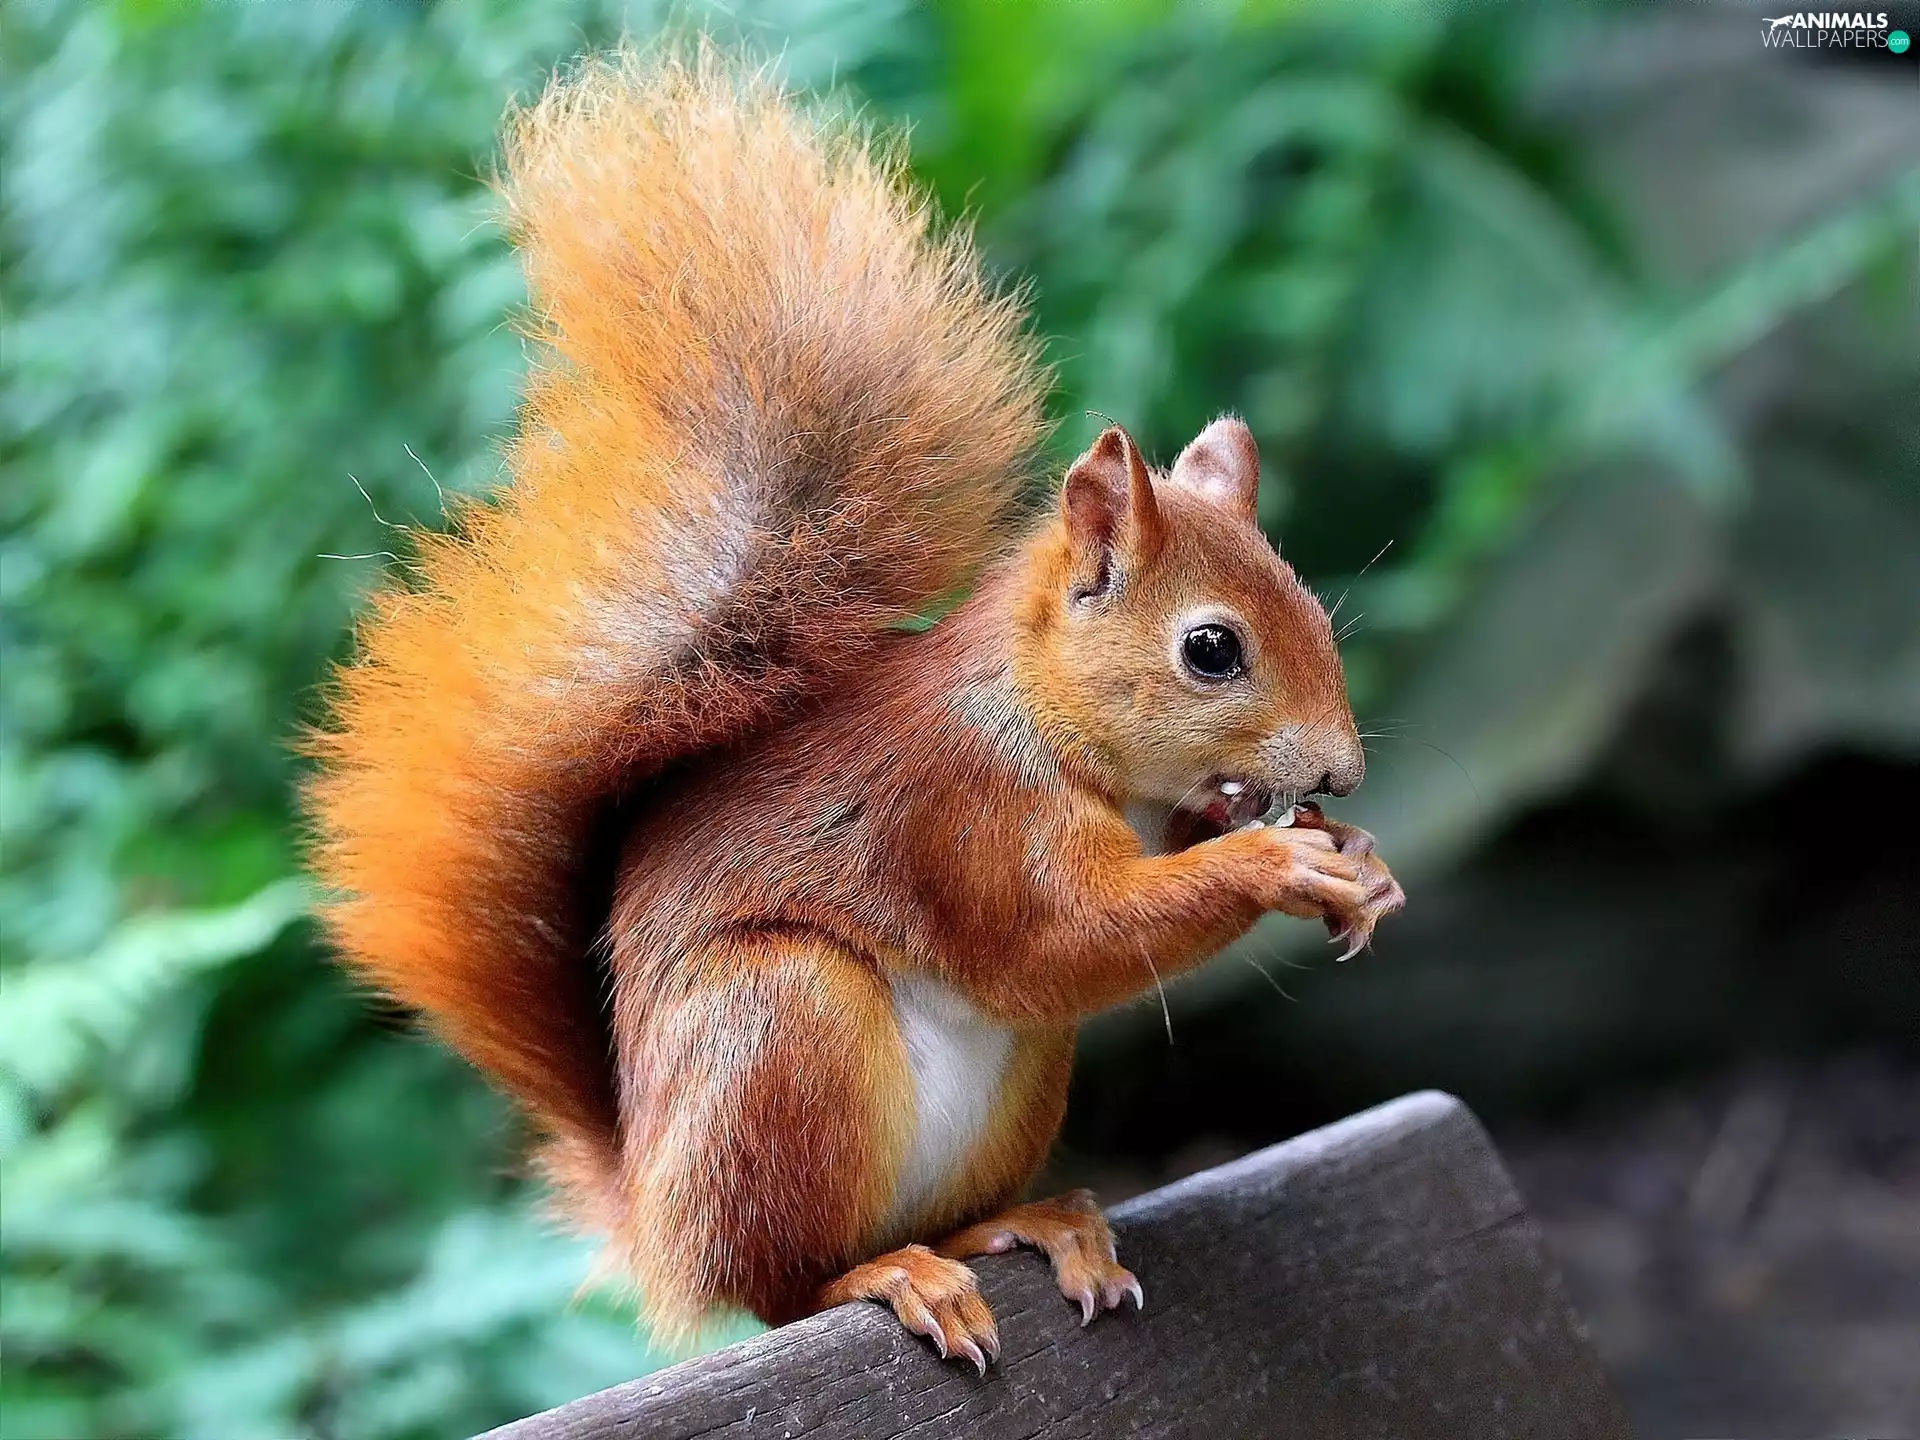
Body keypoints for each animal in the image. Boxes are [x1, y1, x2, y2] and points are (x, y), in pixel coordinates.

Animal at [306, 48, 1403, 1371]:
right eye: (1210, 650)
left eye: (1315, 615)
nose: (1340, 775)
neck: (1049, 726)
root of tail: (658, 1219)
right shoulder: (963, 812)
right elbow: (1063, 938)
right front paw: (1280, 864)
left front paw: (1357, 859)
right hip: (784, 1025)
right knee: (784, 1283)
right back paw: (888, 1277)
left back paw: (1027, 1225)